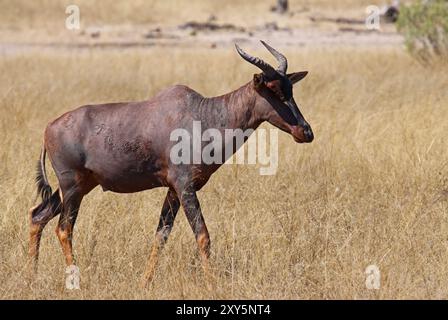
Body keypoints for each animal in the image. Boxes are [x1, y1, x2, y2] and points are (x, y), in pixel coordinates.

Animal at [29, 41, 314, 286]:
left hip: (79, 186)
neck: (203, 115)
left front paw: (145, 282)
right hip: (72, 186)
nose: (306, 132)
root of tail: (48, 128)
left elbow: (161, 235)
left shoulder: (173, 189)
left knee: (37, 215)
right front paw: (212, 285)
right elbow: (203, 236)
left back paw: (32, 274)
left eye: (290, 89)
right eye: (272, 90)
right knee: (64, 229)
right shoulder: (185, 186)